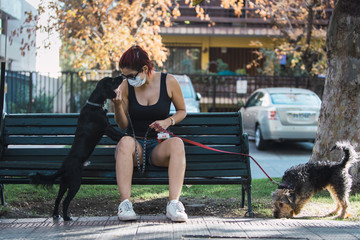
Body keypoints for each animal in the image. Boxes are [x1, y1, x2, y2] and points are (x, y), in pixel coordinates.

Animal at [28, 76, 124, 220]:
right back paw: (67, 217)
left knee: (57, 199)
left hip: (64, 184)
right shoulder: (107, 128)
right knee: (65, 201)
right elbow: (121, 134)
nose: (122, 76)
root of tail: (64, 166)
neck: (94, 105)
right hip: (75, 183)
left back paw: (56, 215)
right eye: (112, 80)